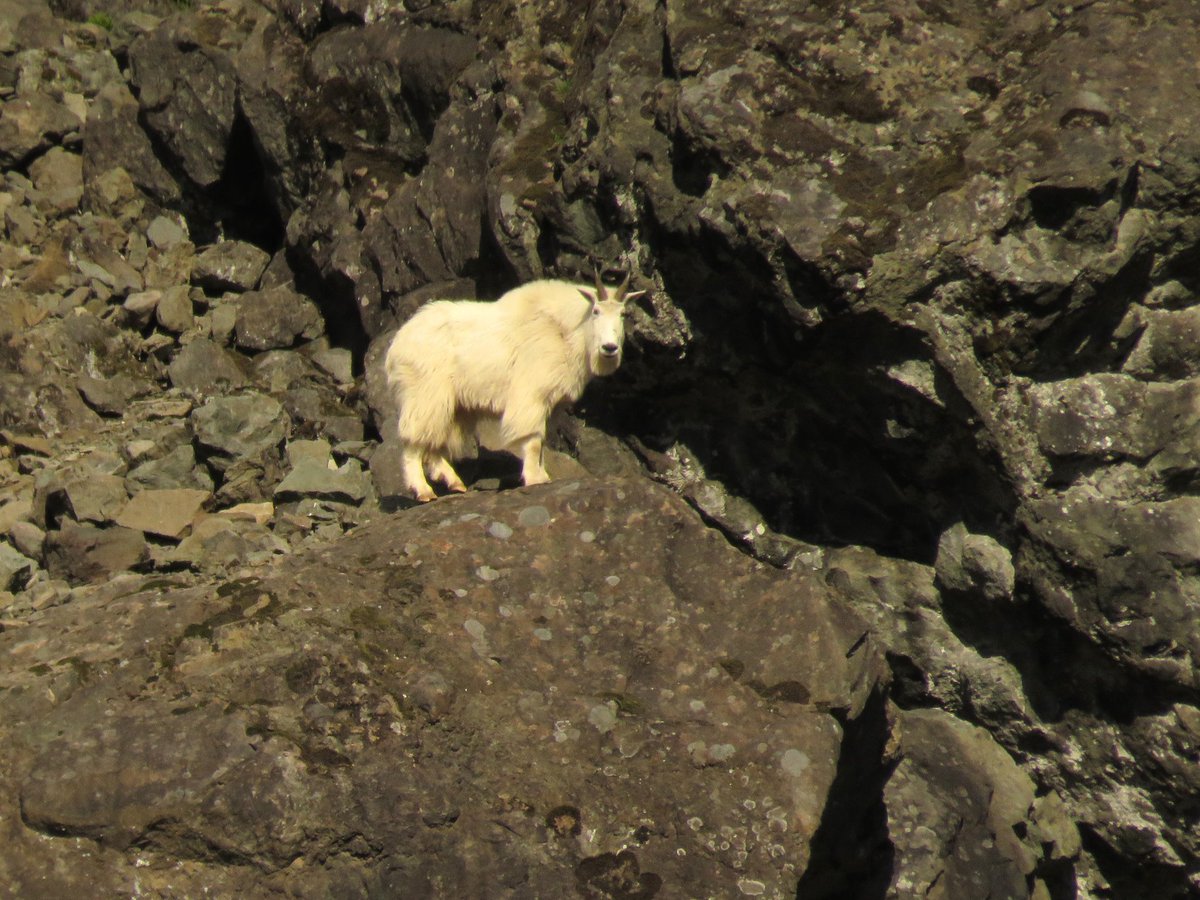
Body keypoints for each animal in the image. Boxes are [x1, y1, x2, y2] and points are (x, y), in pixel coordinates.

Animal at [384, 271, 648, 504]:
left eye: (623, 313)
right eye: (596, 311)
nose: (609, 347)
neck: (564, 331)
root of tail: (397, 344)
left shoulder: (550, 405)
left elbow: (541, 442)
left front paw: (542, 475)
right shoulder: (532, 395)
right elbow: (532, 441)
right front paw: (534, 479)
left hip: (454, 406)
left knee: (434, 444)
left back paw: (455, 483)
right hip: (425, 395)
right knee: (414, 442)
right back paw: (423, 491)